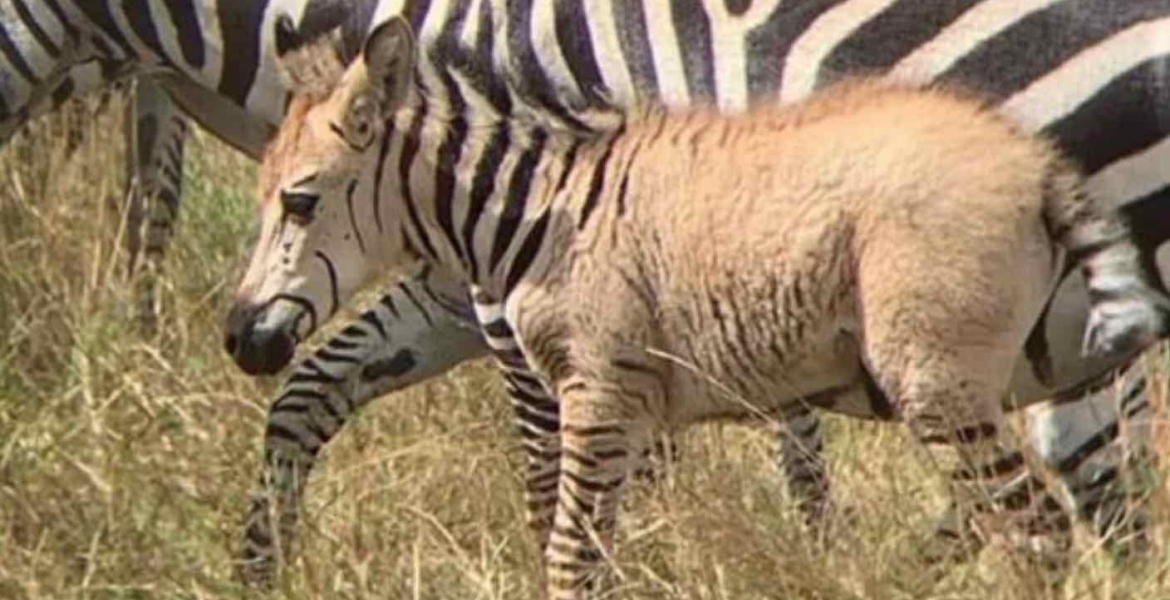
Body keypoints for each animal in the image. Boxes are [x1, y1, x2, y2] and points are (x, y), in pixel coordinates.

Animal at [0, 0, 1162, 582]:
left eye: (298, 199)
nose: (237, 339)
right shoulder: (461, 295)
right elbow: (311, 394)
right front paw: (259, 565)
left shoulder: (546, 337)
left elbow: (553, 504)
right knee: (1085, 503)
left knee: (1081, 503)